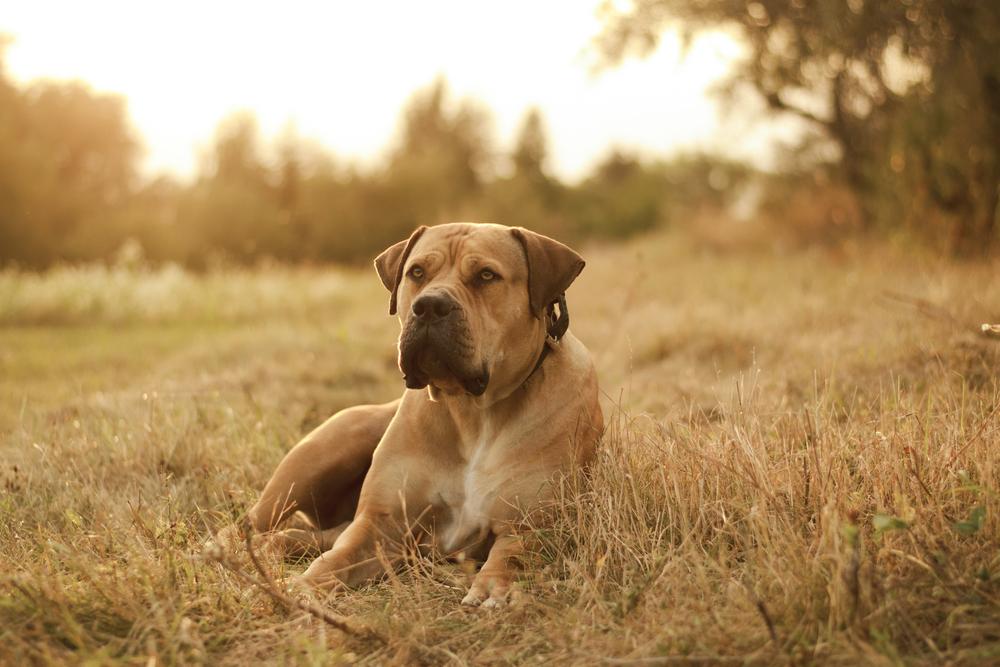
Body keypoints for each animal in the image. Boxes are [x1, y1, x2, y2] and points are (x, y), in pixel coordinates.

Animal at [218, 222, 600, 608]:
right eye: (417, 273)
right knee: (250, 525)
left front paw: (494, 589)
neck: (472, 411)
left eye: (486, 275)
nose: (430, 305)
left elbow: (511, 555)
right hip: (318, 457)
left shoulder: (531, 525)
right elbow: (335, 561)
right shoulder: (379, 526)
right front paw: (301, 587)